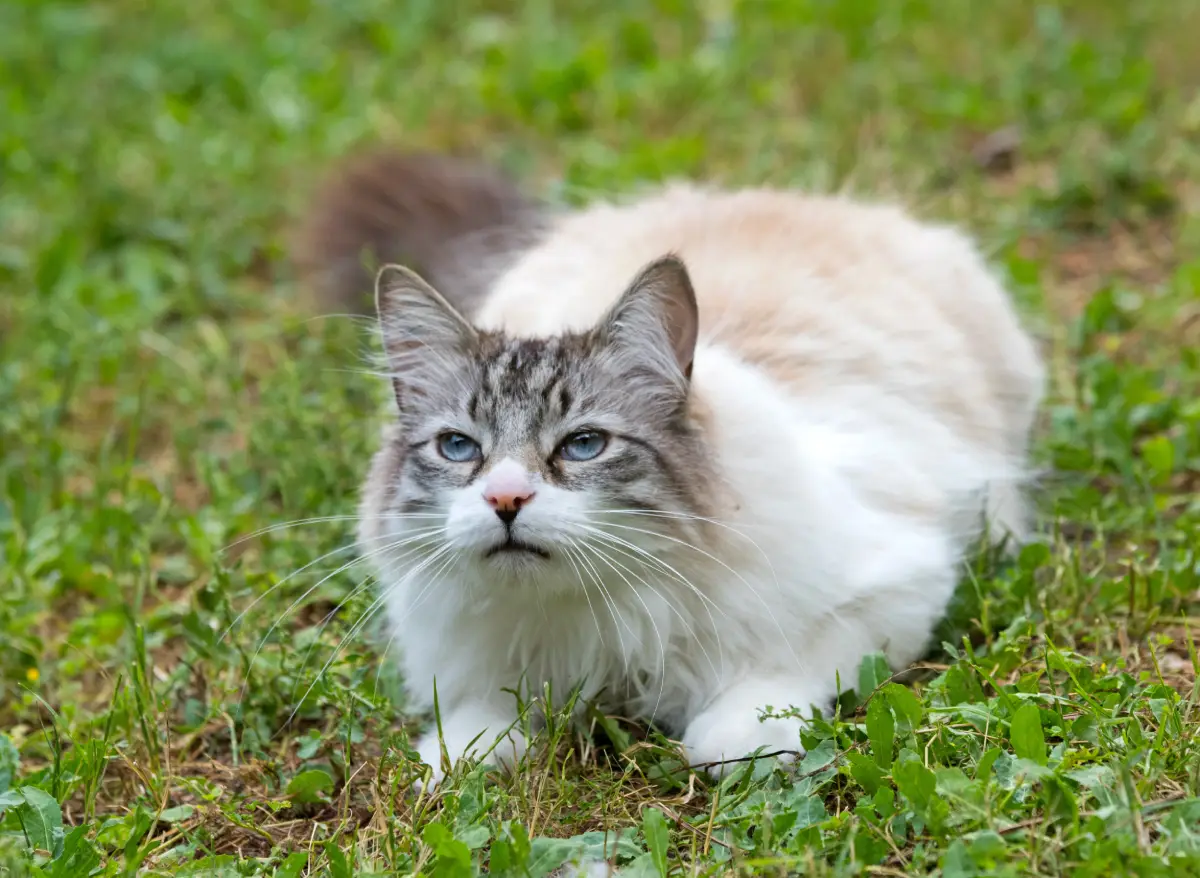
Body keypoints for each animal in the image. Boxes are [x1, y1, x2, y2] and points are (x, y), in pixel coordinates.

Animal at [295, 147, 1046, 786]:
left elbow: (778, 676)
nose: (505, 500)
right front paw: (461, 756)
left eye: (583, 445)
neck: (594, 624)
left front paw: (733, 743)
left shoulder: (896, 587)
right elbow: (478, 719)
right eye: (460, 449)